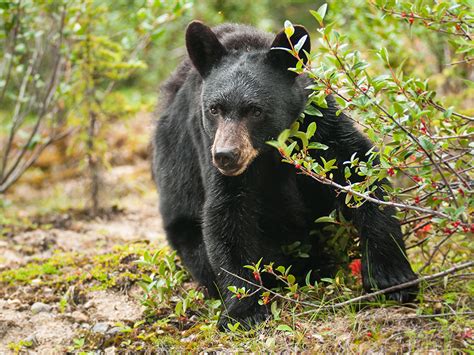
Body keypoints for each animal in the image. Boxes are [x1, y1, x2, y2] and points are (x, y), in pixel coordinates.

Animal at [153, 20, 418, 330]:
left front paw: (393, 279)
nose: (226, 155)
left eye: (255, 110)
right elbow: (226, 216)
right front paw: (244, 310)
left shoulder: (317, 122)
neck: (267, 152)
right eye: (214, 109)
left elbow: (359, 170)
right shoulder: (208, 146)